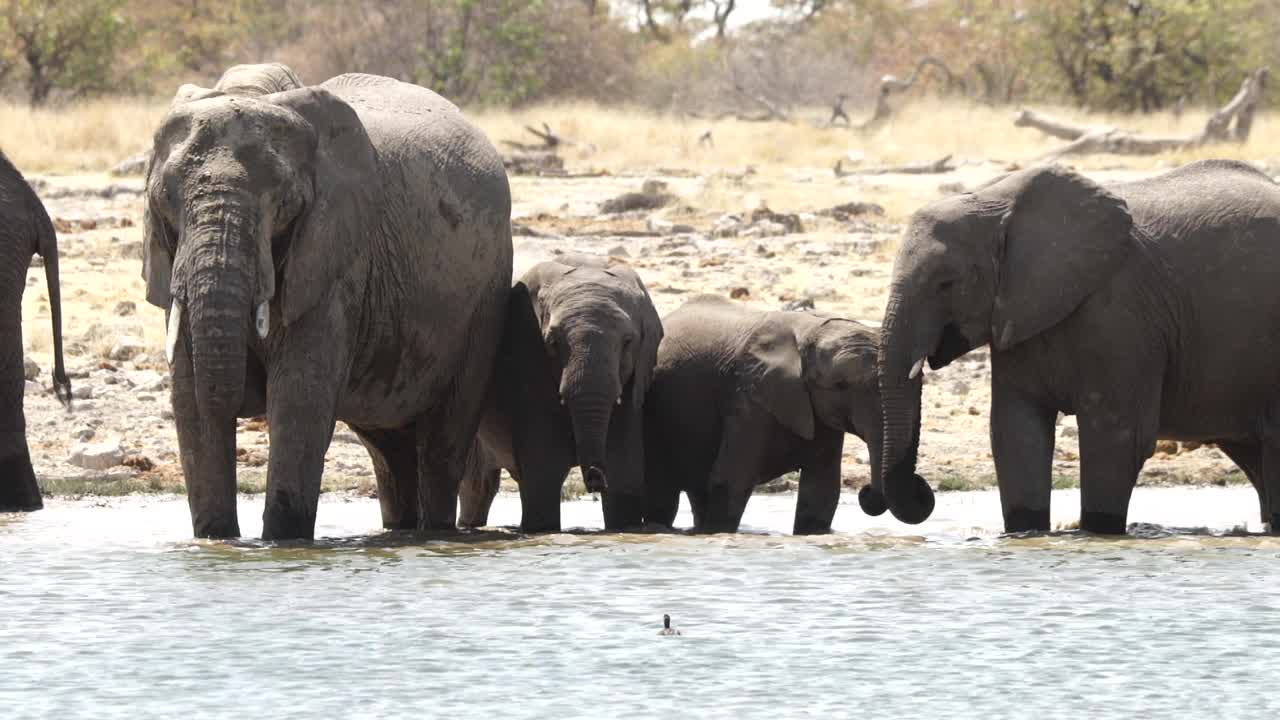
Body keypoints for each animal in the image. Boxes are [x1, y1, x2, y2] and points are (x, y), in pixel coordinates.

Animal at [142, 68, 512, 538]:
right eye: (164, 200)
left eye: (284, 204)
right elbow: (189, 399)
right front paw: (215, 539)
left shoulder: (334, 258)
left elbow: (300, 396)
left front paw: (281, 540)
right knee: (389, 452)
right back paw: (399, 531)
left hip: (487, 295)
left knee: (443, 441)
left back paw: (435, 533)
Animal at [458, 254, 660, 530]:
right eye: (553, 342)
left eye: (628, 342)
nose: (595, 479)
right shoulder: (527, 350)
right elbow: (544, 473)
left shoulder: (635, 377)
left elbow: (623, 472)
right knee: (476, 485)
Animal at [645, 293, 926, 532]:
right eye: (839, 385)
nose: (865, 491)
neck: (810, 332)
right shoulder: (748, 396)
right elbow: (731, 481)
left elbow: (821, 491)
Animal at [875, 161, 1280, 532]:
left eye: (946, 283)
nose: (922, 492)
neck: (996, 202)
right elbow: (1015, 429)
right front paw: (1026, 531)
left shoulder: (1122, 313)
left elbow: (1116, 435)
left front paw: (1097, 532)